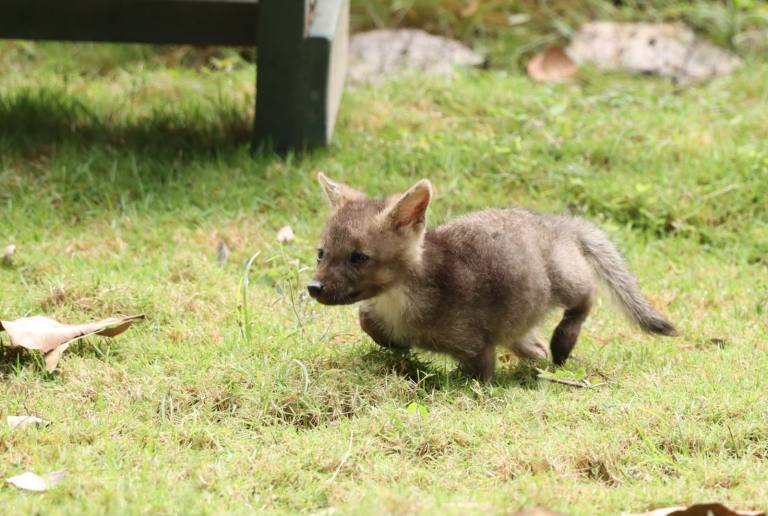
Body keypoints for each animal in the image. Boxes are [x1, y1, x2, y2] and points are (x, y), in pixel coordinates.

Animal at [307, 173, 676, 382]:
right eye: (321, 253)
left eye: (359, 257)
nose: (313, 287)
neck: (401, 302)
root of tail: (559, 222)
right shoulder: (377, 313)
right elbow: (367, 319)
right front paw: (395, 343)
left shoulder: (476, 346)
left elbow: (479, 378)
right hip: (520, 321)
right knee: (534, 344)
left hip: (566, 281)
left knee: (586, 298)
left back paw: (562, 342)